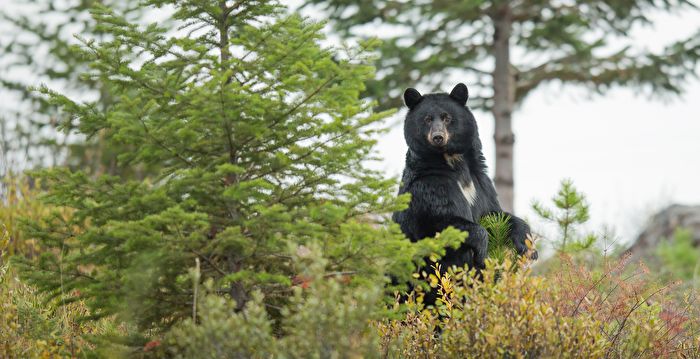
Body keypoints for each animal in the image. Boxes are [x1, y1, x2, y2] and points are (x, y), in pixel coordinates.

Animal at [394, 83, 536, 282]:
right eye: (427, 119)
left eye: (447, 117)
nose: (438, 137)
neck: (452, 160)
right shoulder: (429, 185)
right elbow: (442, 220)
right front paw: (482, 252)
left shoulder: (480, 182)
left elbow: (494, 213)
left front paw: (527, 246)